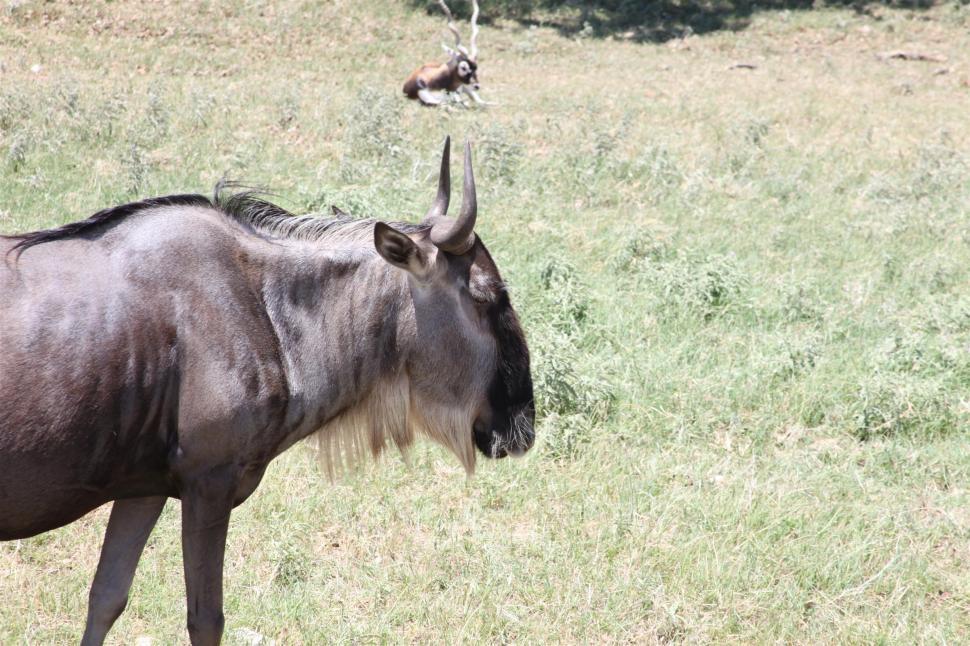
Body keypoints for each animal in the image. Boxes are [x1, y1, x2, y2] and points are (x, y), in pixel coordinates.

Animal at [0, 137, 534, 644]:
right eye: (487, 296)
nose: (522, 425)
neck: (260, 302)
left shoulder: (142, 487)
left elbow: (106, 597)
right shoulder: (209, 483)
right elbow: (205, 620)